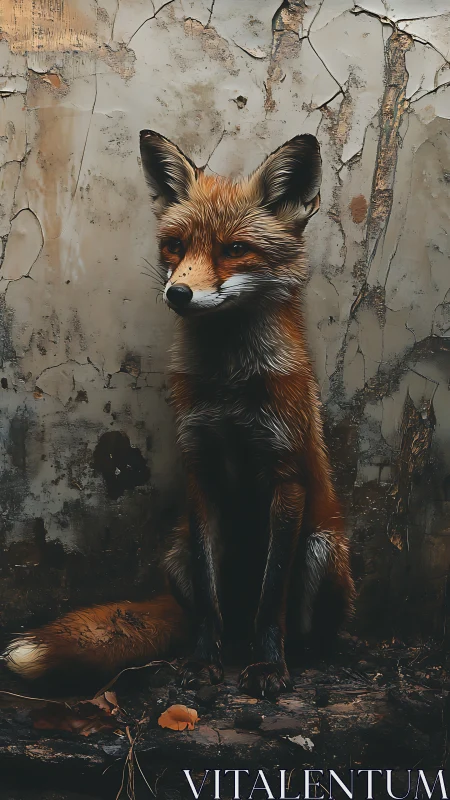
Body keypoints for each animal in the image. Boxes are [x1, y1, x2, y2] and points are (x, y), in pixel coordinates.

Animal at [3, 131, 354, 698]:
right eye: (176, 246)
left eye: (234, 250)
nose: (178, 292)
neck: (230, 385)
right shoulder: (201, 469)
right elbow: (210, 601)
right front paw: (202, 664)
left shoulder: (285, 477)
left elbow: (272, 598)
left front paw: (269, 667)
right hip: (176, 553)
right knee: (207, 614)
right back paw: (218, 649)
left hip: (322, 548)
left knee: (288, 621)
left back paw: (298, 657)